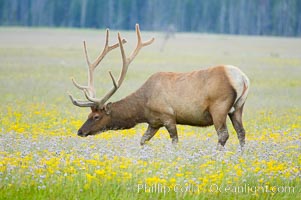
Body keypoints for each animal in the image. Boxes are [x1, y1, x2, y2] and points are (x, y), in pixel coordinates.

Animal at [68, 23, 248, 148]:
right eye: (88, 114)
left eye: (96, 116)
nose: (80, 131)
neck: (143, 107)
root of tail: (243, 79)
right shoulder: (154, 122)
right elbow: (142, 140)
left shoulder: (168, 116)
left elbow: (175, 141)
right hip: (237, 108)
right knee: (241, 132)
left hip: (219, 107)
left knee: (223, 135)